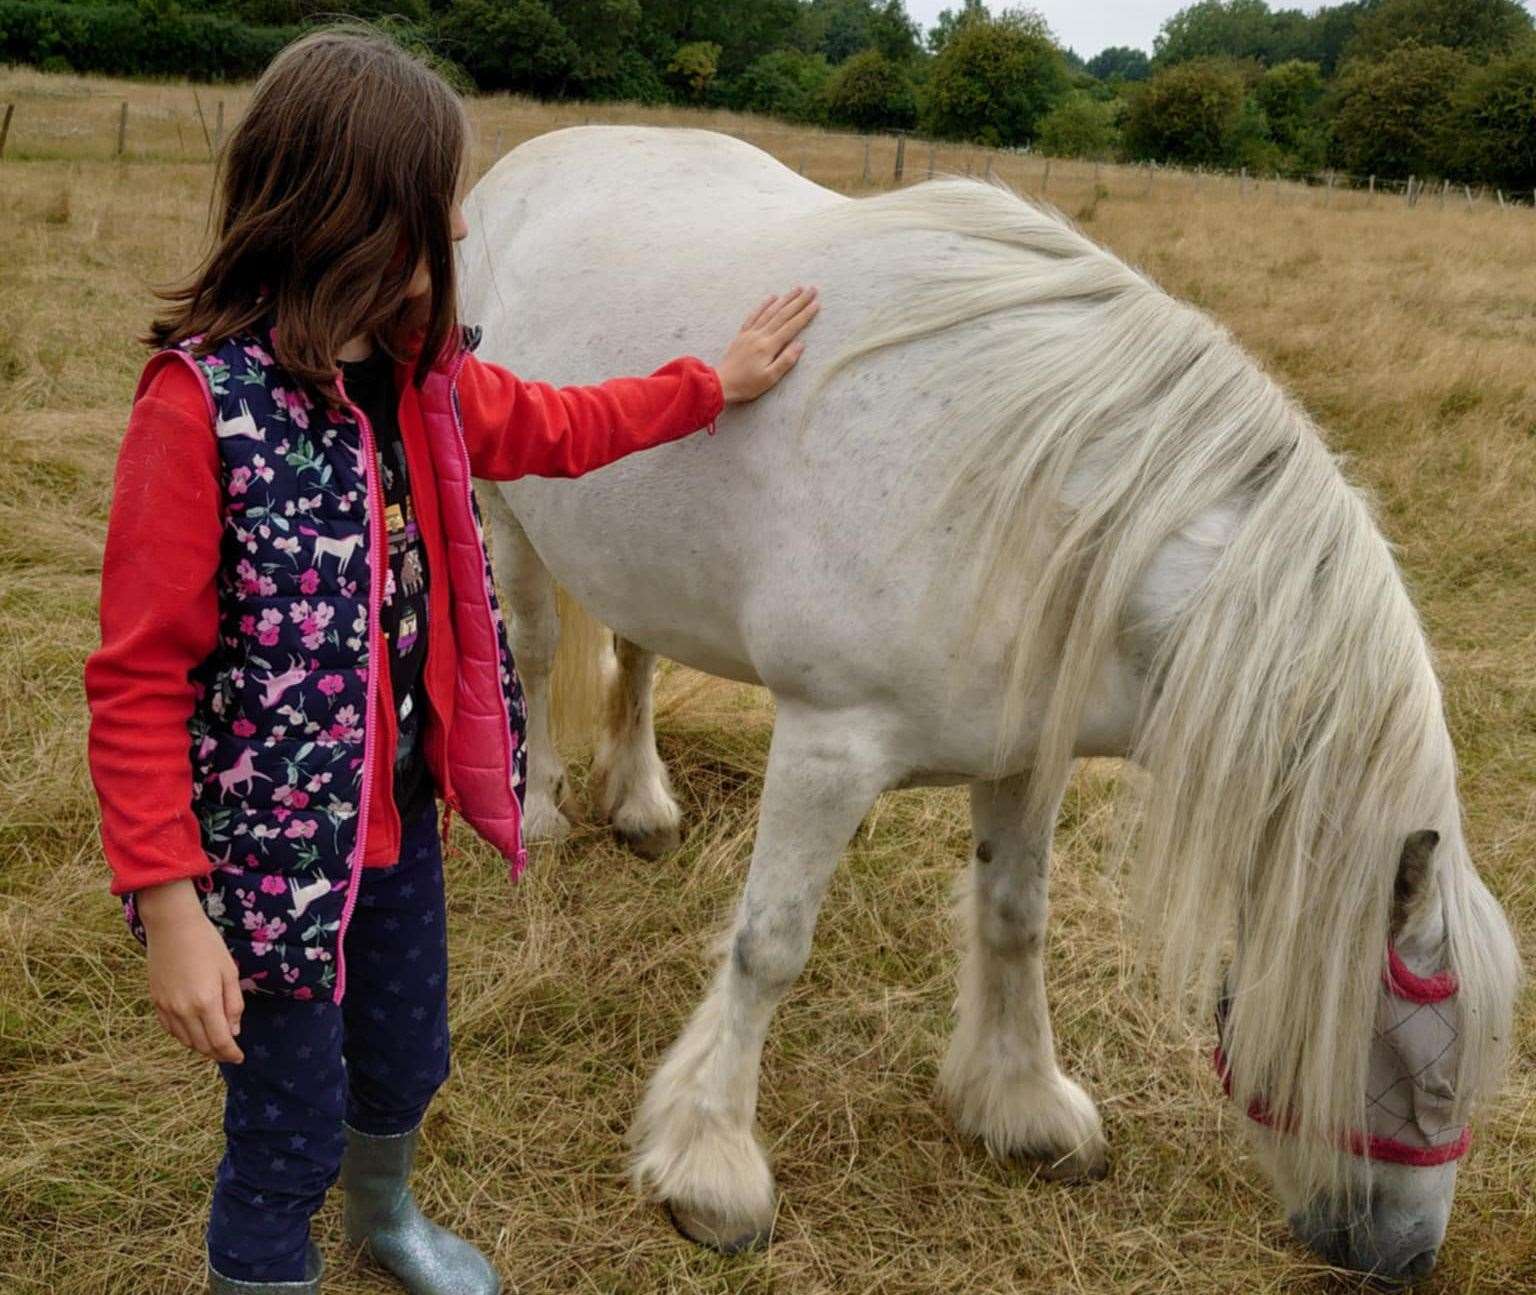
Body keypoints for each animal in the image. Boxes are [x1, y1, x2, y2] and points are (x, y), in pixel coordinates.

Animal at [457, 126, 1523, 1284]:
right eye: (1421, 1067)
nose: (1404, 1254)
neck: (1046, 505)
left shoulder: (1024, 758)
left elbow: (1016, 919)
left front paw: (1024, 1107)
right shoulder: (829, 745)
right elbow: (768, 945)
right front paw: (711, 1167)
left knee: (638, 653)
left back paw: (643, 801)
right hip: (504, 504)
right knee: (535, 647)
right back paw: (542, 814)